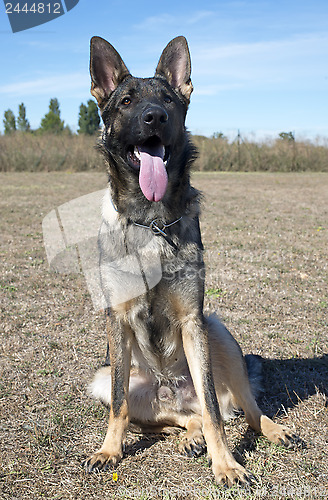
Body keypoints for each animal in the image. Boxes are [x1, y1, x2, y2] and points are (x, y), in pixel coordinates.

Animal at [84, 37, 298, 486]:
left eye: (168, 100)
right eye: (126, 101)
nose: (154, 116)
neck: (152, 221)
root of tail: (174, 390)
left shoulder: (192, 320)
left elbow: (216, 412)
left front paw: (227, 464)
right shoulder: (117, 322)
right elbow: (119, 403)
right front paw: (110, 450)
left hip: (218, 334)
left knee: (237, 410)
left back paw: (272, 430)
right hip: (107, 379)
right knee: (178, 417)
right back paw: (190, 437)